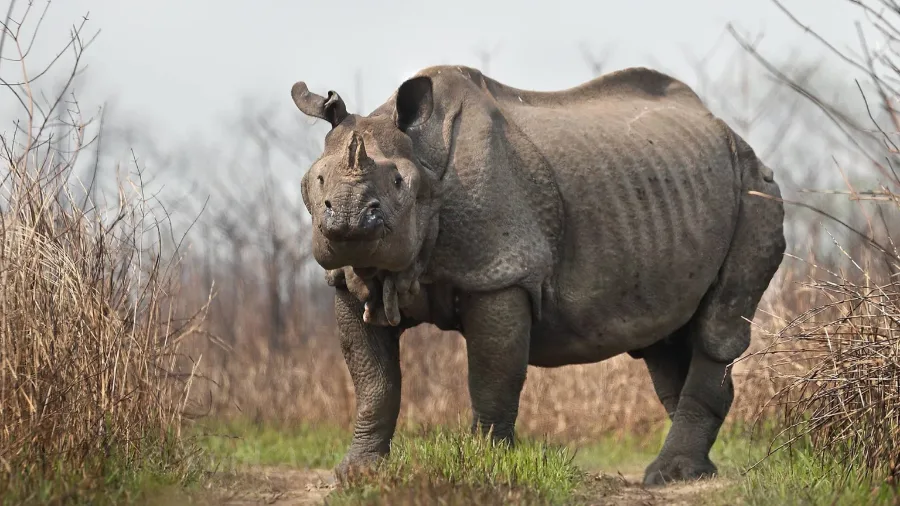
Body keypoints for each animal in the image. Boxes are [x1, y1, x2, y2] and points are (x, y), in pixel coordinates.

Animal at [289, 65, 786, 486]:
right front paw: (355, 475)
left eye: (397, 184)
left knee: (716, 329)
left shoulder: (501, 272)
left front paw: (485, 467)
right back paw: (689, 474)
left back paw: (669, 475)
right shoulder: (350, 278)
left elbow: (492, 376)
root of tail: (730, 132)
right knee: (664, 340)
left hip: (755, 187)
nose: (349, 218)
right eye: (314, 181)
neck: (424, 158)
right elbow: (374, 382)